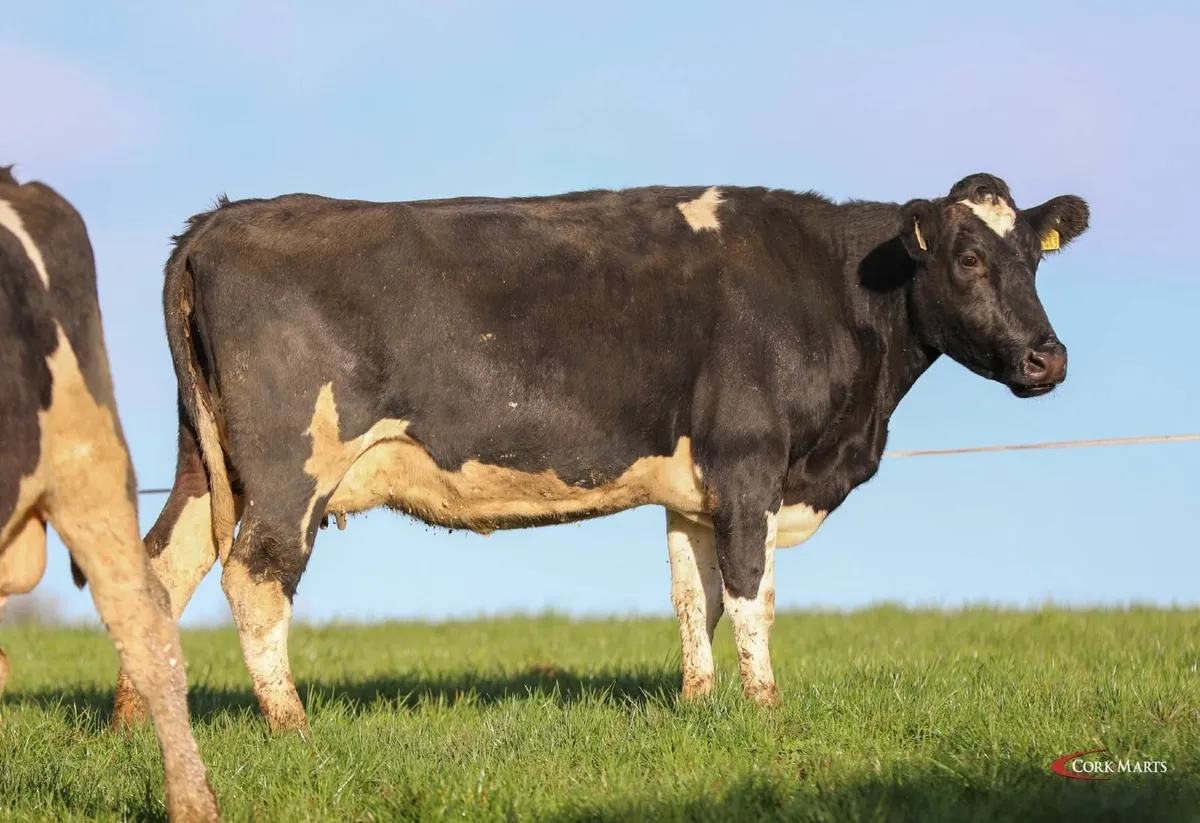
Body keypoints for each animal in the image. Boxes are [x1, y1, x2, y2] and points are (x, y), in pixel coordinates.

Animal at [109, 173, 1088, 732]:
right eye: (967, 257)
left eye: (1034, 262)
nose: (1049, 357)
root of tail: (221, 219)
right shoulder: (750, 463)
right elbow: (753, 593)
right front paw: (766, 710)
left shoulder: (695, 488)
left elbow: (694, 596)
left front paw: (699, 704)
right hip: (290, 462)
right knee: (255, 574)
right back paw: (290, 722)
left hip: (207, 461)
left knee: (157, 567)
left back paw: (135, 718)